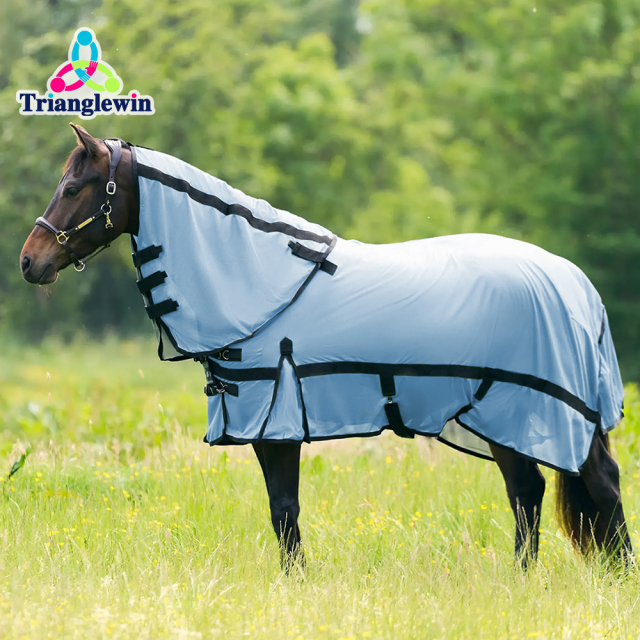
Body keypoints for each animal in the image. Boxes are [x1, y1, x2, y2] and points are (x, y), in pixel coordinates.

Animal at [20, 124, 633, 569]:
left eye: (72, 188)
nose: (29, 262)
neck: (263, 281)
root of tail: (578, 286)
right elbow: (282, 512)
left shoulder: (275, 422)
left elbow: (283, 510)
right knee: (534, 492)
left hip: (518, 408)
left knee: (569, 489)